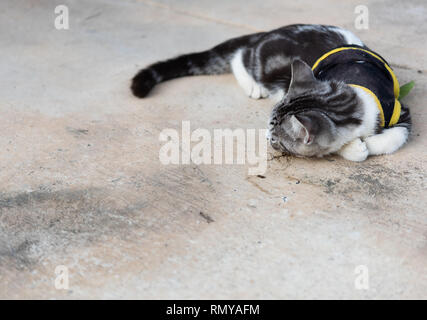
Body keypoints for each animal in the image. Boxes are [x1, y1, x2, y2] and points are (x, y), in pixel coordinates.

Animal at [131, 24, 412, 162]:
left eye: (275, 137)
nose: (266, 138)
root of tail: (268, 32)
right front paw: (356, 148)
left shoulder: (398, 107)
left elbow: (396, 136)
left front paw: (369, 143)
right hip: (267, 63)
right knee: (240, 56)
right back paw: (252, 85)